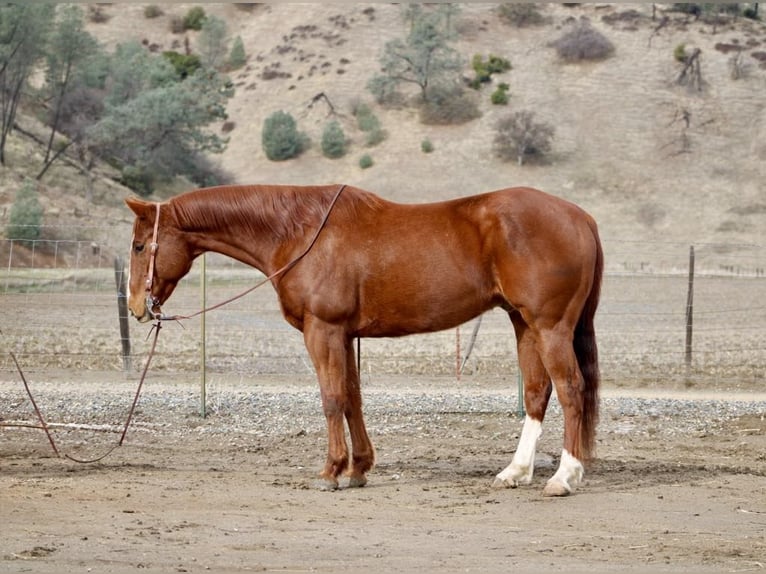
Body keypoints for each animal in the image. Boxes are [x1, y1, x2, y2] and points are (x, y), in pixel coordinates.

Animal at [126, 184, 603, 496]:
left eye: (138, 245)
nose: (135, 306)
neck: (298, 231)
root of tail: (581, 217)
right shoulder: (345, 335)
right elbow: (352, 397)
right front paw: (359, 468)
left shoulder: (323, 330)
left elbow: (332, 398)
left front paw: (332, 471)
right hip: (525, 325)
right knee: (538, 393)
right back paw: (516, 472)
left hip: (550, 327)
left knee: (571, 389)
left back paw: (563, 477)